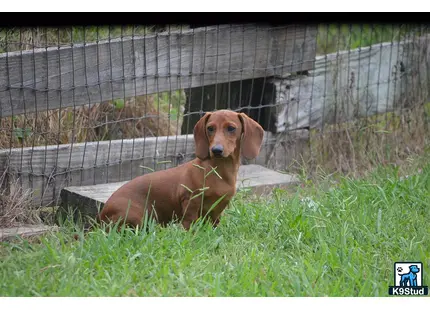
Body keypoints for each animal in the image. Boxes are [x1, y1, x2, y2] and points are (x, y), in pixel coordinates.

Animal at [98, 109, 264, 230]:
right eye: (210, 128)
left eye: (231, 128)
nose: (216, 150)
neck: (219, 171)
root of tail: (102, 214)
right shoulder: (190, 200)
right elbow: (189, 222)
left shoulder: (219, 207)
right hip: (138, 216)